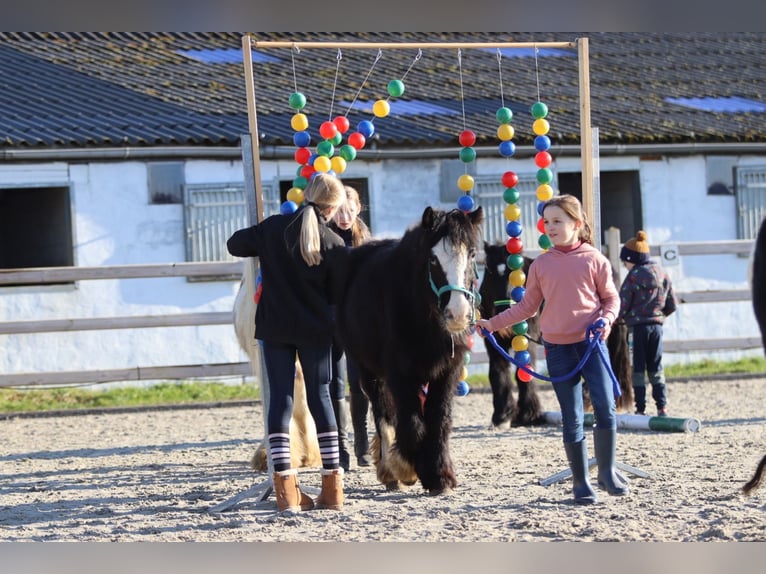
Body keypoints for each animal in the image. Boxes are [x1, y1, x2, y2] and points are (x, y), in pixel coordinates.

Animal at [334, 207, 484, 496]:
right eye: (433, 259)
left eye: (471, 254)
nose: (458, 314)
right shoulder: (399, 374)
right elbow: (412, 423)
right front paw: (406, 468)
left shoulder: (447, 372)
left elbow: (439, 419)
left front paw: (440, 476)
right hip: (367, 370)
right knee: (383, 413)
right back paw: (388, 470)